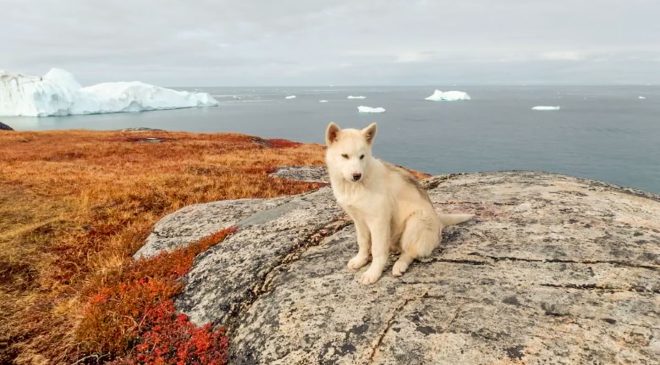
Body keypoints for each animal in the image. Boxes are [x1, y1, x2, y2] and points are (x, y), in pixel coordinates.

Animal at [324, 122, 470, 284]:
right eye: (345, 156)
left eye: (362, 156)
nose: (357, 175)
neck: (355, 186)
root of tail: (439, 221)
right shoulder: (359, 220)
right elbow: (363, 242)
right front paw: (360, 260)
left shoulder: (379, 220)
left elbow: (377, 250)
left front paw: (373, 273)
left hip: (416, 222)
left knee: (410, 252)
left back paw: (399, 265)